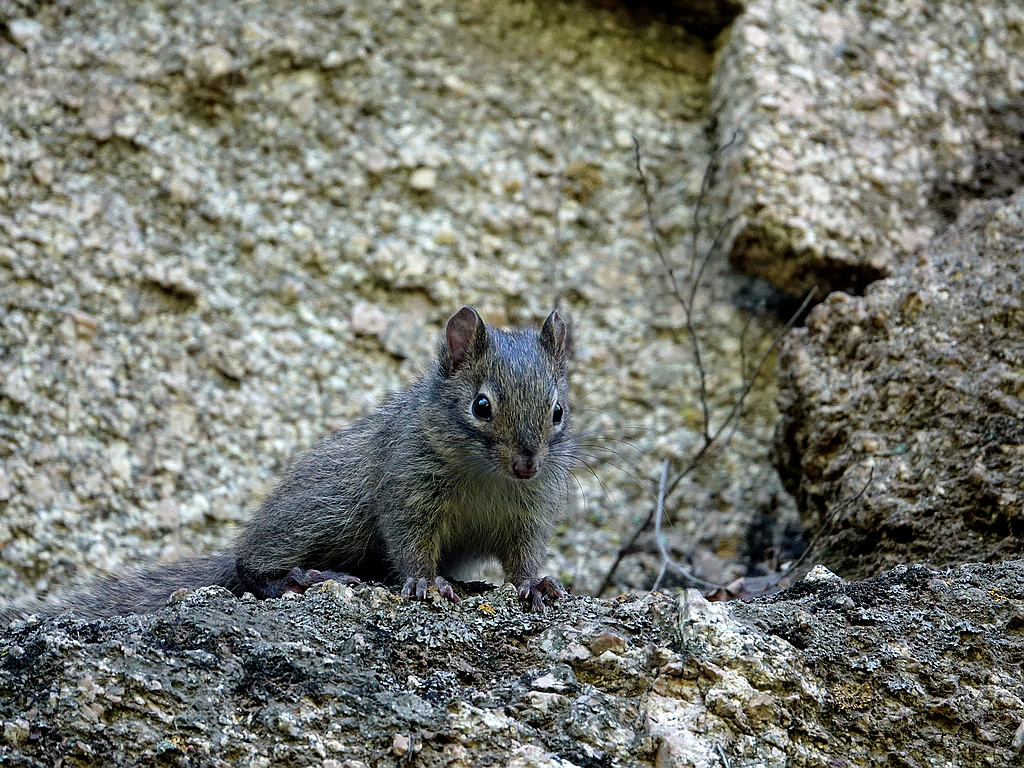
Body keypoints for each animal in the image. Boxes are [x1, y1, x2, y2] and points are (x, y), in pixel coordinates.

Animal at [0, 303, 573, 622]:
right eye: (481, 406)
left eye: (557, 411)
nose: (526, 464)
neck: (486, 476)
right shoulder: (408, 489)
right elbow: (410, 544)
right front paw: (426, 583)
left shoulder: (527, 512)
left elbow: (523, 557)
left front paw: (535, 585)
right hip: (328, 511)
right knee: (248, 566)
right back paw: (299, 579)